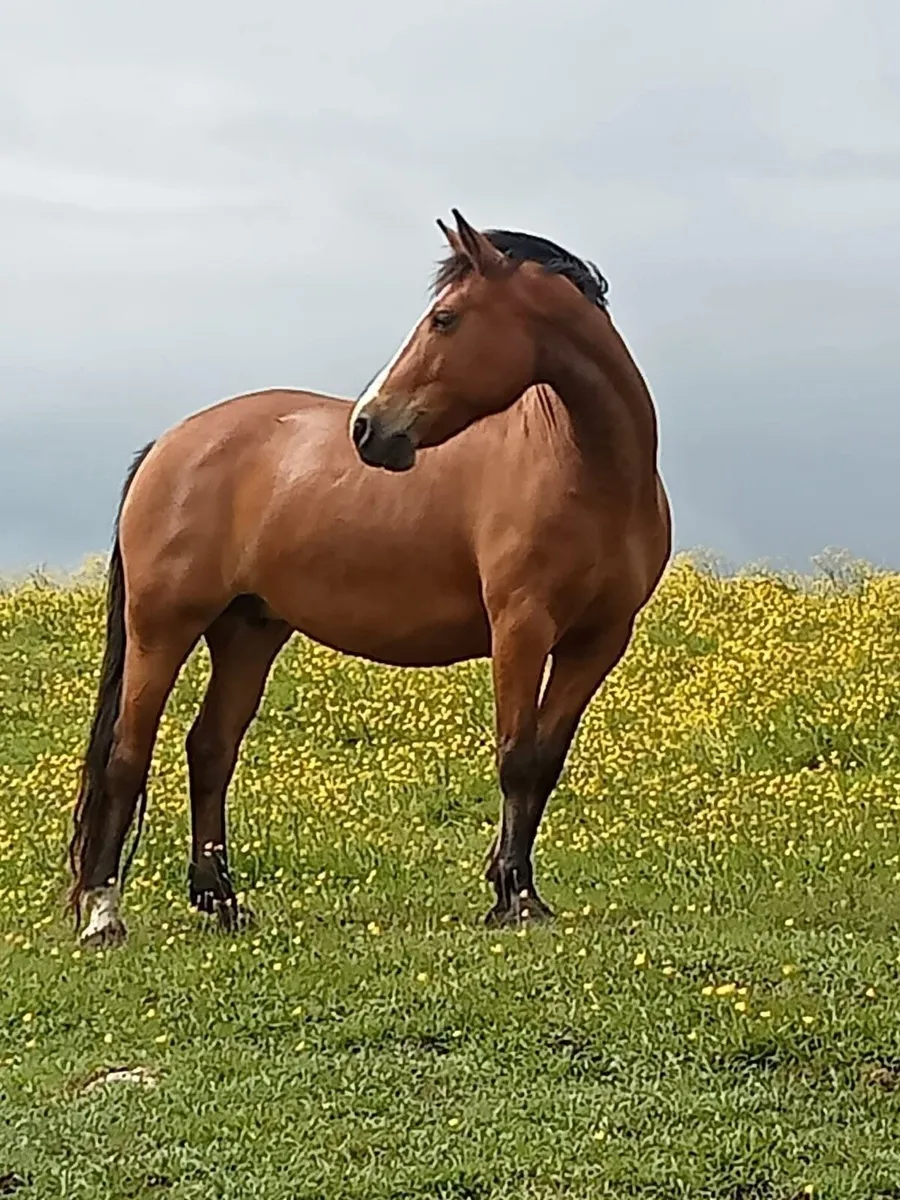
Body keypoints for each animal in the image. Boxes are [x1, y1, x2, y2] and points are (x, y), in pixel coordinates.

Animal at [68, 208, 671, 948]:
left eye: (444, 318)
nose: (368, 428)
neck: (591, 472)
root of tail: (168, 445)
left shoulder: (599, 642)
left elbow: (546, 762)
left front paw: (518, 888)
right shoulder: (521, 629)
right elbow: (516, 757)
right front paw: (513, 897)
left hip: (248, 632)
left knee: (210, 749)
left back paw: (222, 902)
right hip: (161, 630)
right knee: (127, 757)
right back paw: (105, 914)